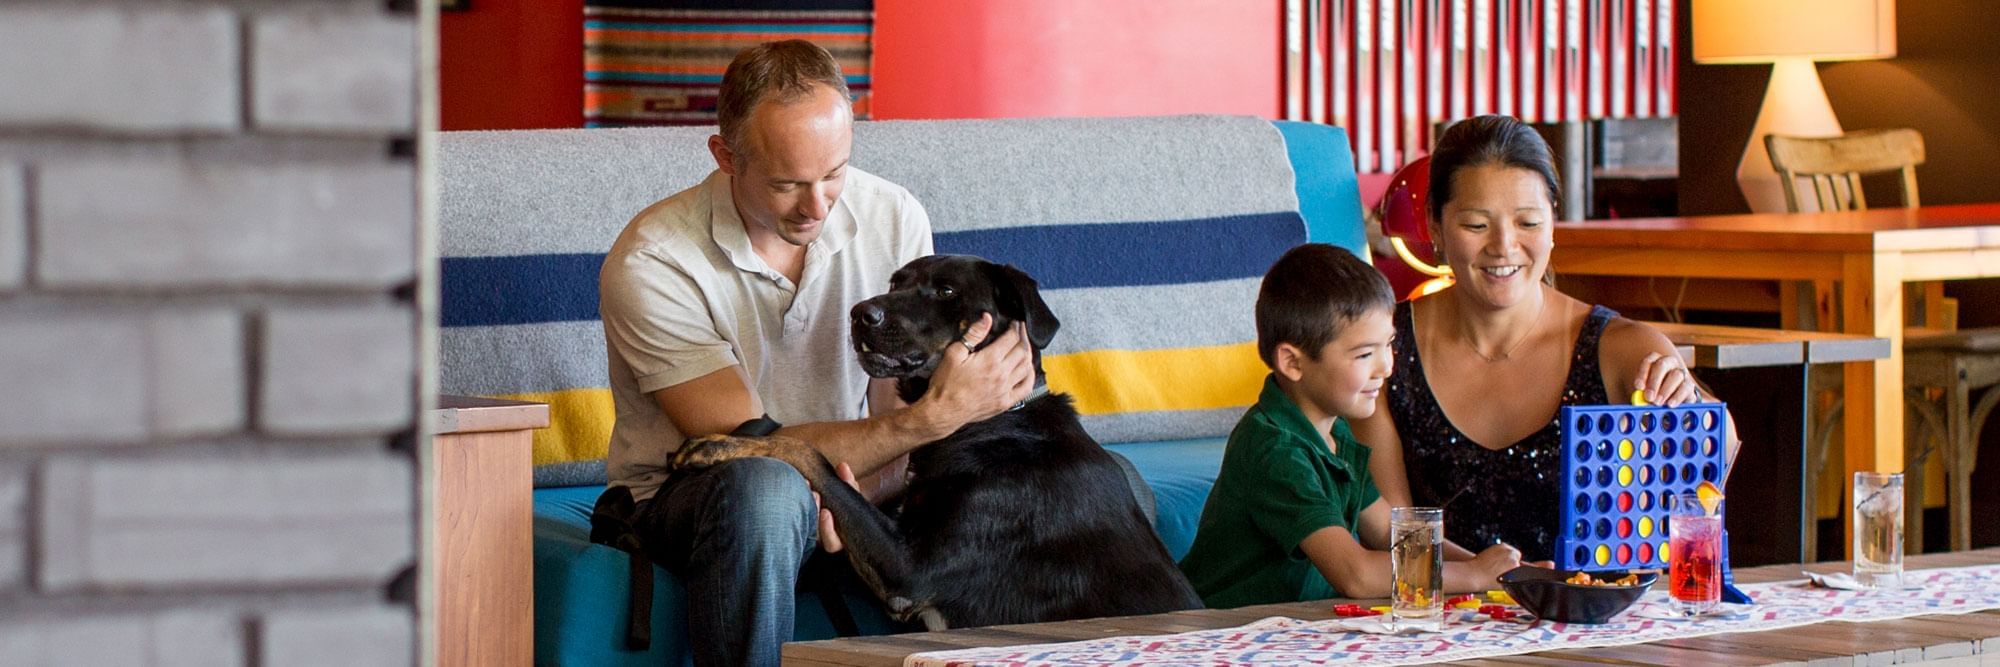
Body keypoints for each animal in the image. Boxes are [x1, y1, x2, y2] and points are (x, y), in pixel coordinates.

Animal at [672, 253, 1200, 631]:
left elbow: (807, 451)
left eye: (946, 290)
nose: (860, 313)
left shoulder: (909, 569)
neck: (992, 421)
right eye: (895, 283)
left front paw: (720, 444)